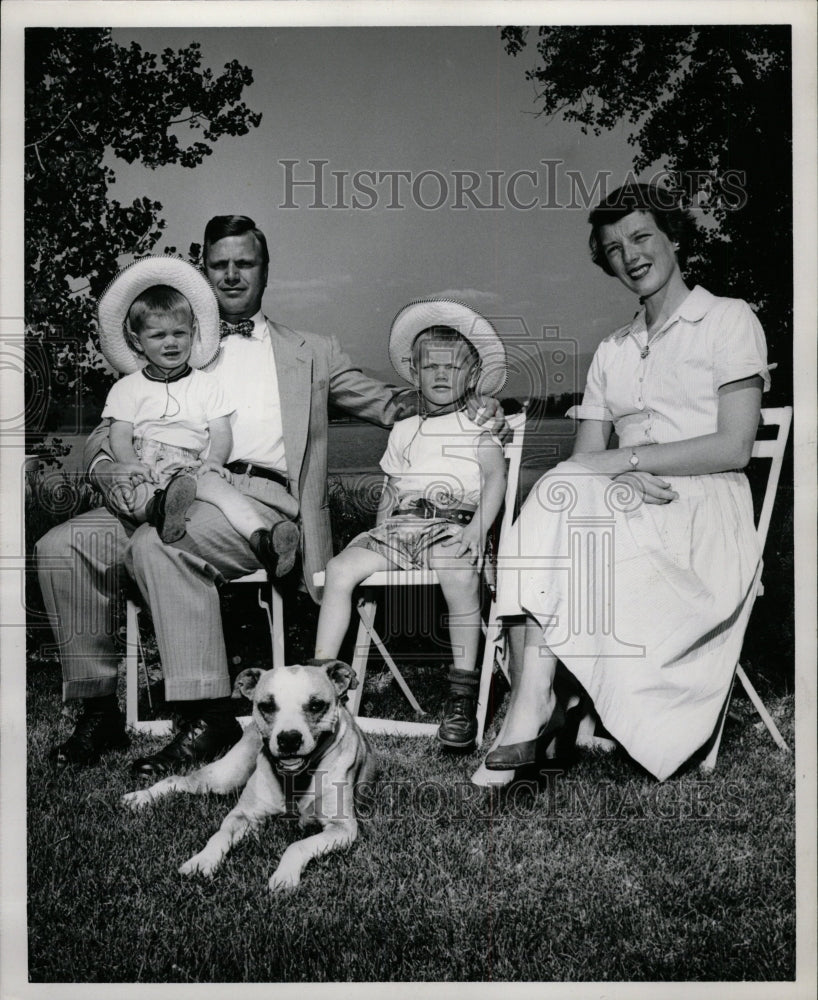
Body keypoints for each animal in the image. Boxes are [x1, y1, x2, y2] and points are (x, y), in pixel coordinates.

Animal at [121, 664, 376, 892]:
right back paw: (141, 797)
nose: (289, 739)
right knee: (176, 779)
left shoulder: (342, 828)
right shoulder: (242, 815)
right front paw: (202, 860)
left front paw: (284, 876)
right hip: (225, 777)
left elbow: (297, 845)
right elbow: (219, 835)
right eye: (267, 706)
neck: (296, 780)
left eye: (316, 705)